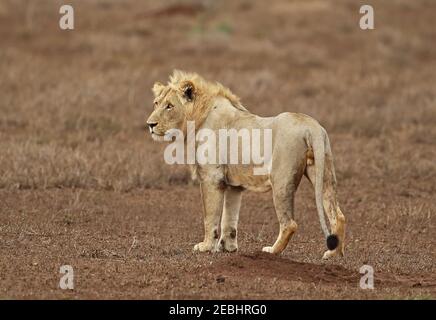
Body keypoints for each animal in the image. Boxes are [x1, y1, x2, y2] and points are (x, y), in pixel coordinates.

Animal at [147, 70, 348, 260]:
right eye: (156, 103)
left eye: (169, 106)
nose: (150, 124)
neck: (198, 117)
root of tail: (311, 126)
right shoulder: (233, 185)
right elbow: (229, 219)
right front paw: (227, 247)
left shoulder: (211, 177)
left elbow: (210, 216)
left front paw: (205, 246)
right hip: (324, 173)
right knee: (338, 215)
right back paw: (333, 254)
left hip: (281, 180)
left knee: (290, 223)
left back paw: (272, 251)